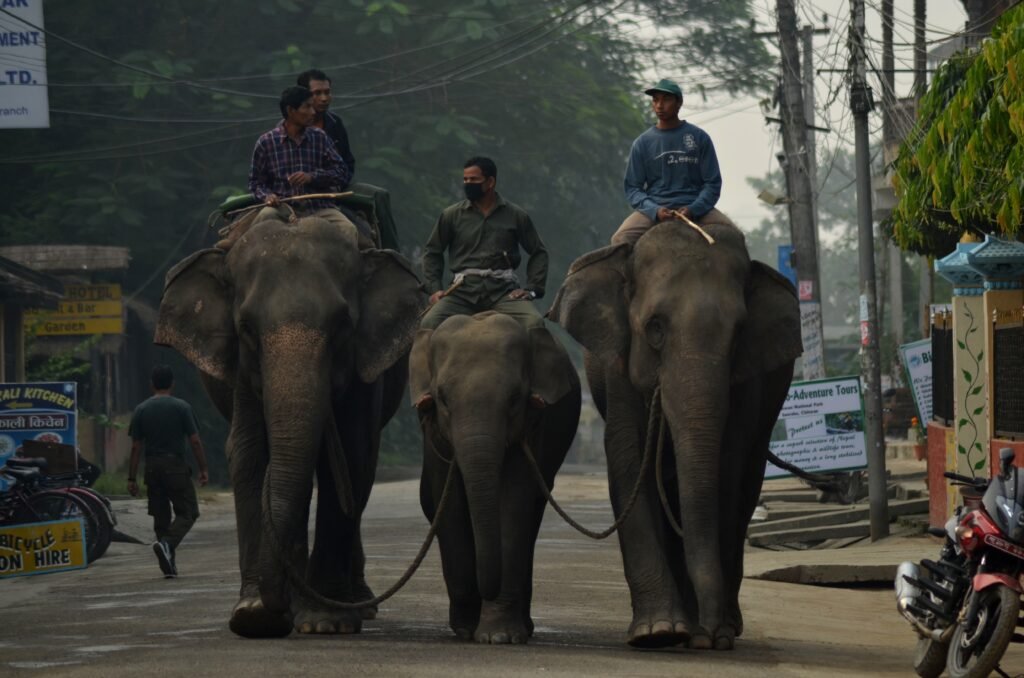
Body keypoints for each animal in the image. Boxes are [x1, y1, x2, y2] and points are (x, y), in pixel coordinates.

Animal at [154, 215, 425, 637]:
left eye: (342, 325)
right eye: (246, 328)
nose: (274, 607)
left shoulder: (366, 368)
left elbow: (351, 456)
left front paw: (325, 622)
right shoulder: (240, 368)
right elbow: (247, 452)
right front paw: (253, 615)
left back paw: (355, 604)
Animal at [409, 312, 581, 644]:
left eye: (515, 398)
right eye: (442, 399)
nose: (486, 589)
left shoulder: (532, 425)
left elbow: (513, 500)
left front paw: (499, 636)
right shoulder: (432, 431)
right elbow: (448, 502)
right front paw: (466, 628)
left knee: (534, 512)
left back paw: (524, 627)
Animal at [548, 218, 802, 651]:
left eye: (738, 334)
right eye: (655, 329)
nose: (711, 637)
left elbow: (727, 467)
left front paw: (707, 634)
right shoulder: (617, 364)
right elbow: (628, 457)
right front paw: (657, 633)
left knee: (746, 482)